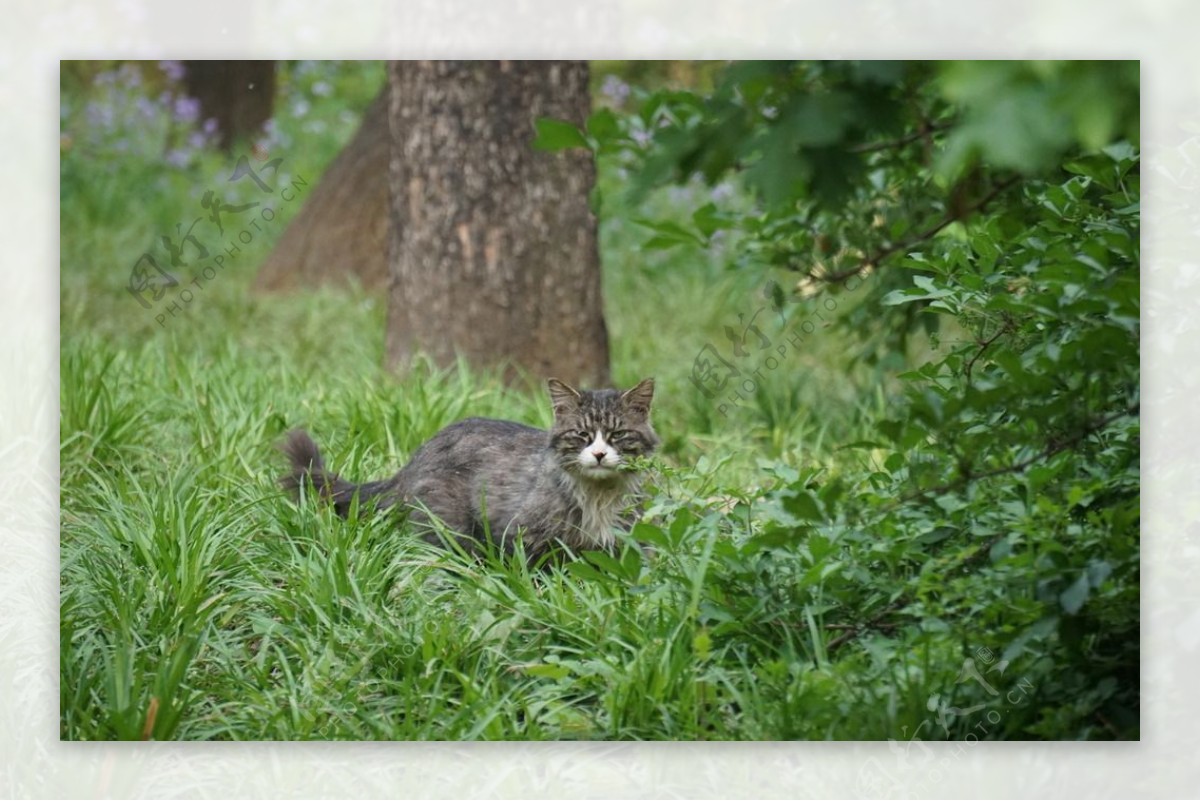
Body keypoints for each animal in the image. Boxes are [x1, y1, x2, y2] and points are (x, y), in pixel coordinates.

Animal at [279, 376, 657, 561]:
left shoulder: (625, 546)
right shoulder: (521, 537)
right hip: (452, 531)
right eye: (582, 436)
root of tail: (417, 457)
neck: (599, 497)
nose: (599, 455)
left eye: (617, 435)